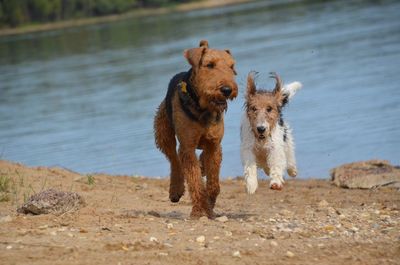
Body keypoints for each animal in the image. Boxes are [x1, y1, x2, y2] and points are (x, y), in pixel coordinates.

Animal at [154, 38, 238, 217]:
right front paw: (199, 210)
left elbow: (213, 183)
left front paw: (210, 205)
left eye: (232, 66)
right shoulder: (188, 146)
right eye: (209, 65)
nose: (227, 90)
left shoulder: (214, 144)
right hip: (163, 134)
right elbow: (195, 181)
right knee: (174, 160)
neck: (203, 108)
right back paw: (176, 190)